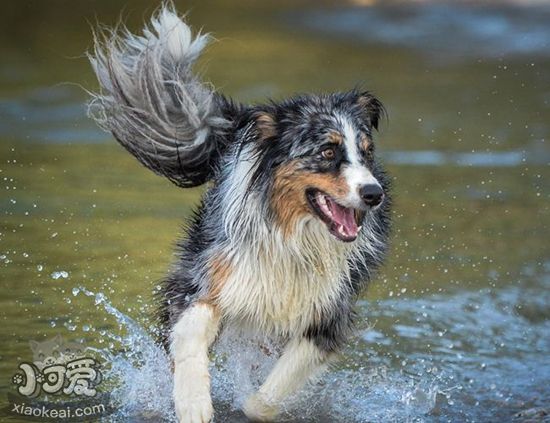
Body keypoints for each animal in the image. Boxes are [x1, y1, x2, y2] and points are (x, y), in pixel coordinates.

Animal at [88, 4, 392, 423]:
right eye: (328, 151)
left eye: (365, 152)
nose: (374, 194)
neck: (293, 235)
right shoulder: (205, 278)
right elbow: (190, 334)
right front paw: (193, 402)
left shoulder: (329, 313)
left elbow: (268, 395)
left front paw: (250, 402)